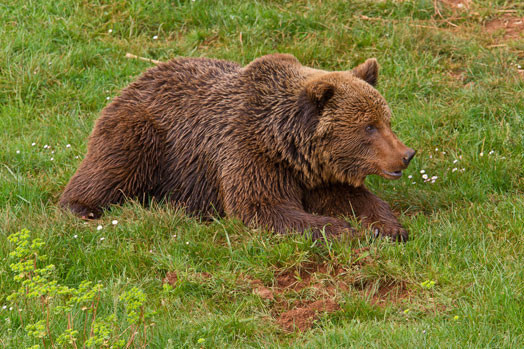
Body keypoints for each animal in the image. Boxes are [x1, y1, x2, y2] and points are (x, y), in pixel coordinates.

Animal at [60, 53, 414, 239]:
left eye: (386, 120)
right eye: (369, 127)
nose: (406, 155)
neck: (286, 145)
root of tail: (136, 79)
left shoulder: (318, 174)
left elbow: (356, 199)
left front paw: (388, 227)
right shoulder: (249, 155)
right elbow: (262, 207)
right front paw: (344, 230)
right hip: (145, 135)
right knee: (112, 170)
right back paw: (81, 207)